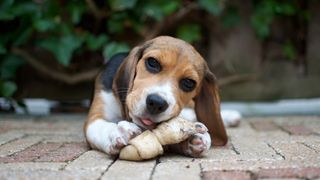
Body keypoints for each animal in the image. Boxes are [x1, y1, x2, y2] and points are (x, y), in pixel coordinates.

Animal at [84, 35, 239, 157]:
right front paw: (117, 131)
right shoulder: (94, 117)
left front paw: (192, 138)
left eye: (189, 83)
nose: (156, 103)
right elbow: (101, 127)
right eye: (152, 62)